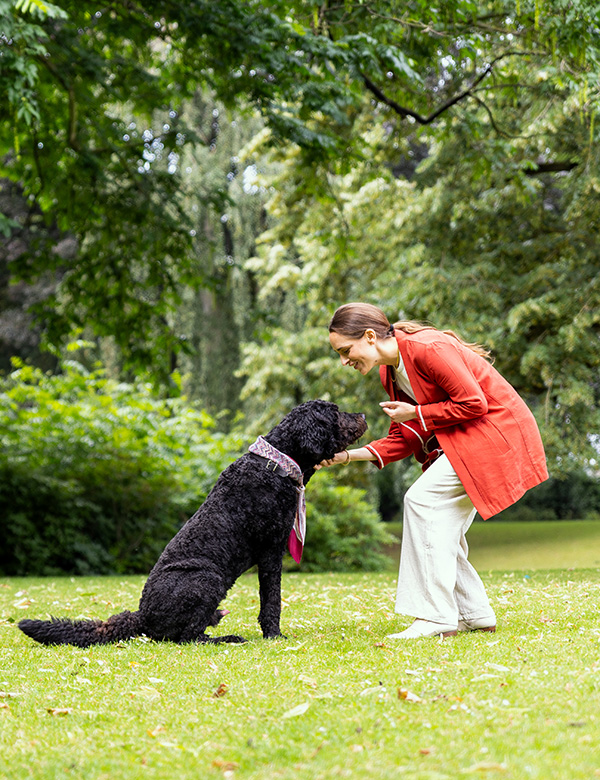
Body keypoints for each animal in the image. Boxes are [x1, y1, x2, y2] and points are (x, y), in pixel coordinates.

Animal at [18, 400, 366, 648]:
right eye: (335, 412)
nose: (363, 413)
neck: (274, 464)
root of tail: (143, 616)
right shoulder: (270, 552)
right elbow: (272, 601)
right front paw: (274, 635)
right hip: (207, 577)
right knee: (186, 637)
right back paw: (228, 638)